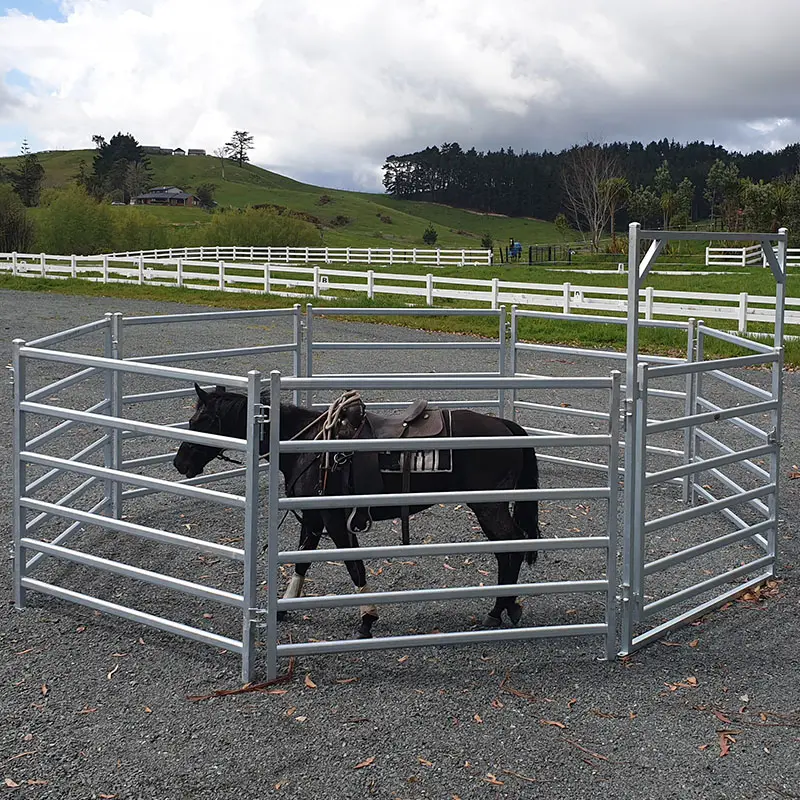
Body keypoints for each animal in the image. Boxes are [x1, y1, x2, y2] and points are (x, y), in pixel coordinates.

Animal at [172, 384, 540, 640]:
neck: (305, 445)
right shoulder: (312, 517)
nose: (179, 462)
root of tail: (506, 426)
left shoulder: (336, 520)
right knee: (506, 550)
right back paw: (504, 607)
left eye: (202, 420)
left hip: (488, 506)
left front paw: (367, 618)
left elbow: (354, 566)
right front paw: (284, 608)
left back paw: (499, 609)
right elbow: (302, 560)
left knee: (512, 546)